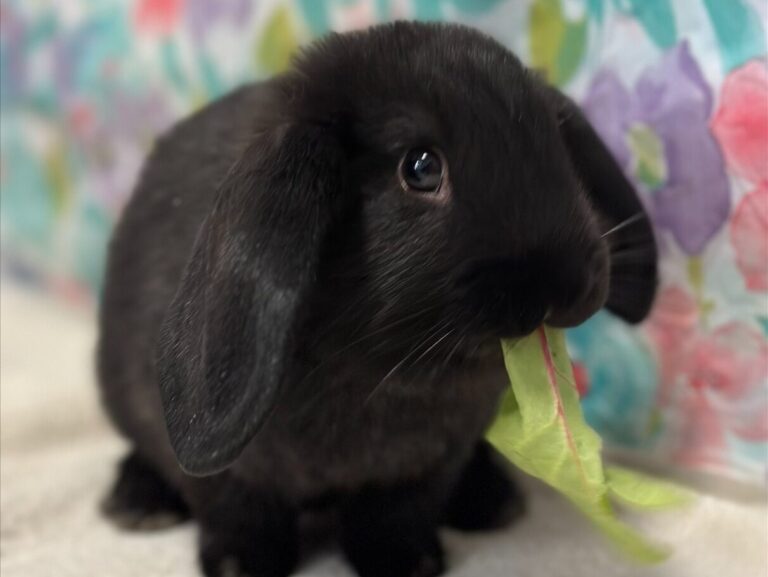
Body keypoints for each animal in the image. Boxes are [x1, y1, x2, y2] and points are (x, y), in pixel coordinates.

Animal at [99, 20, 656, 576]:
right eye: (421, 168)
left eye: (558, 149)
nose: (563, 285)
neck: (380, 370)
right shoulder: (228, 476)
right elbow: (237, 511)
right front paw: (241, 565)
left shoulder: (428, 464)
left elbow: (395, 512)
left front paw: (407, 562)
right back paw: (136, 503)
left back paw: (494, 500)